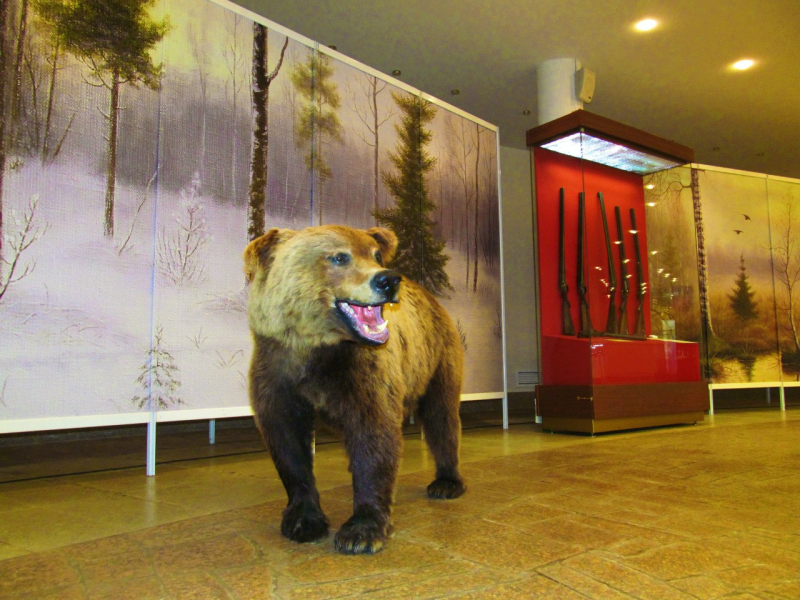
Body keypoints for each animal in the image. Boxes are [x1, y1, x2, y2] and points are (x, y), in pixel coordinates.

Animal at [243, 224, 465, 555]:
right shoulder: (277, 371)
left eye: (375, 254)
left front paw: (361, 531)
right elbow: (287, 445)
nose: (388, 279)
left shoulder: (361, 372)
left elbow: (373, 436)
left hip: (436, 357)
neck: (316, 348)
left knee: (442, 415)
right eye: (339, 257)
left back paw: (446, 483)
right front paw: (303, 521)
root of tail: (430, 296)